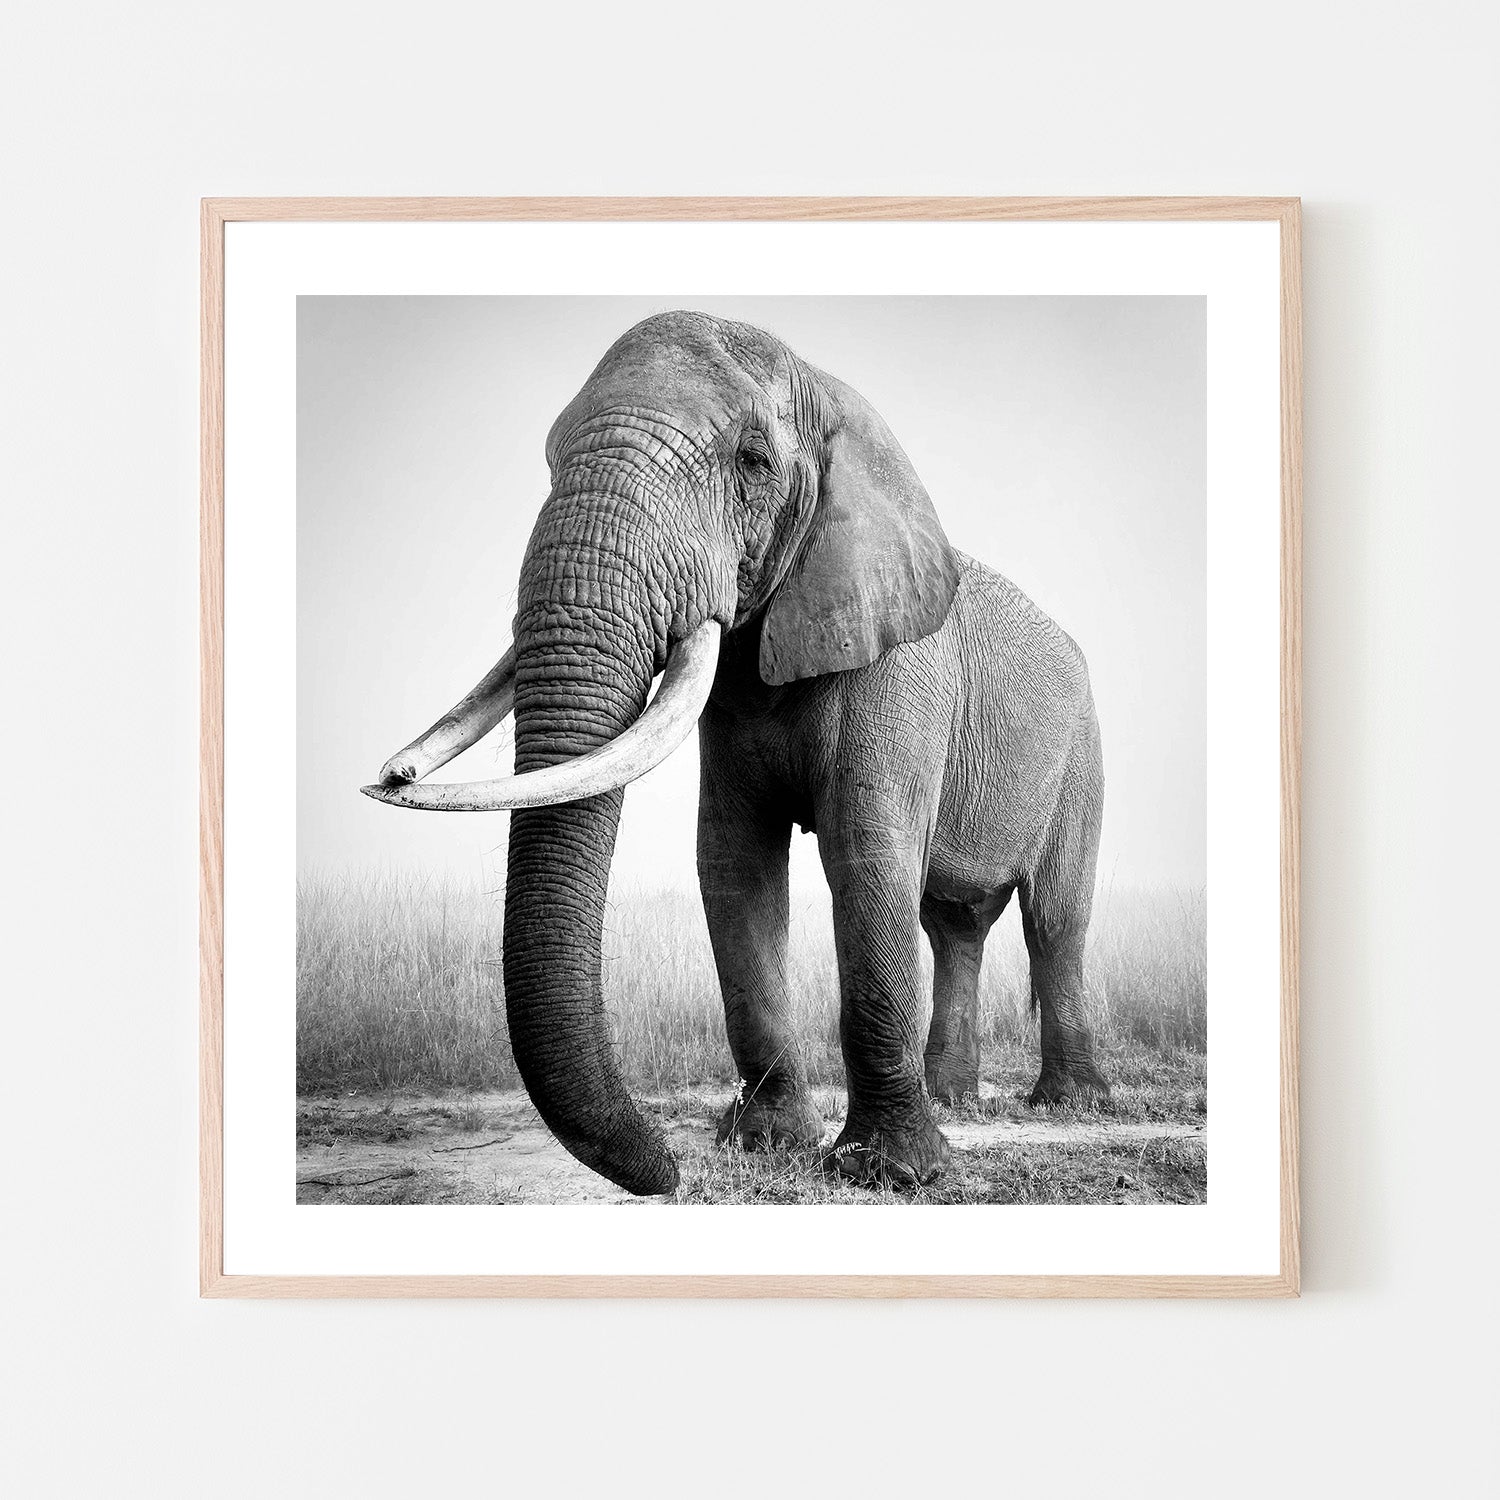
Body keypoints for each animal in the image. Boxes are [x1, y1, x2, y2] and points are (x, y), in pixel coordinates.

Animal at [362, 310, 1107, 1196]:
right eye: (548, 459)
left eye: (752, 462)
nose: (670, 1171)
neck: (831, 395)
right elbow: (735, 864)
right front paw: (768, 1144)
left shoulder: (897, 667)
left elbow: (867, 855)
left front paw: (891, 1173)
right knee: (953, 924)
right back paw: (955, 1099)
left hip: (1084, 751)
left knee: (1053, 918)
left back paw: (1068, 1104)